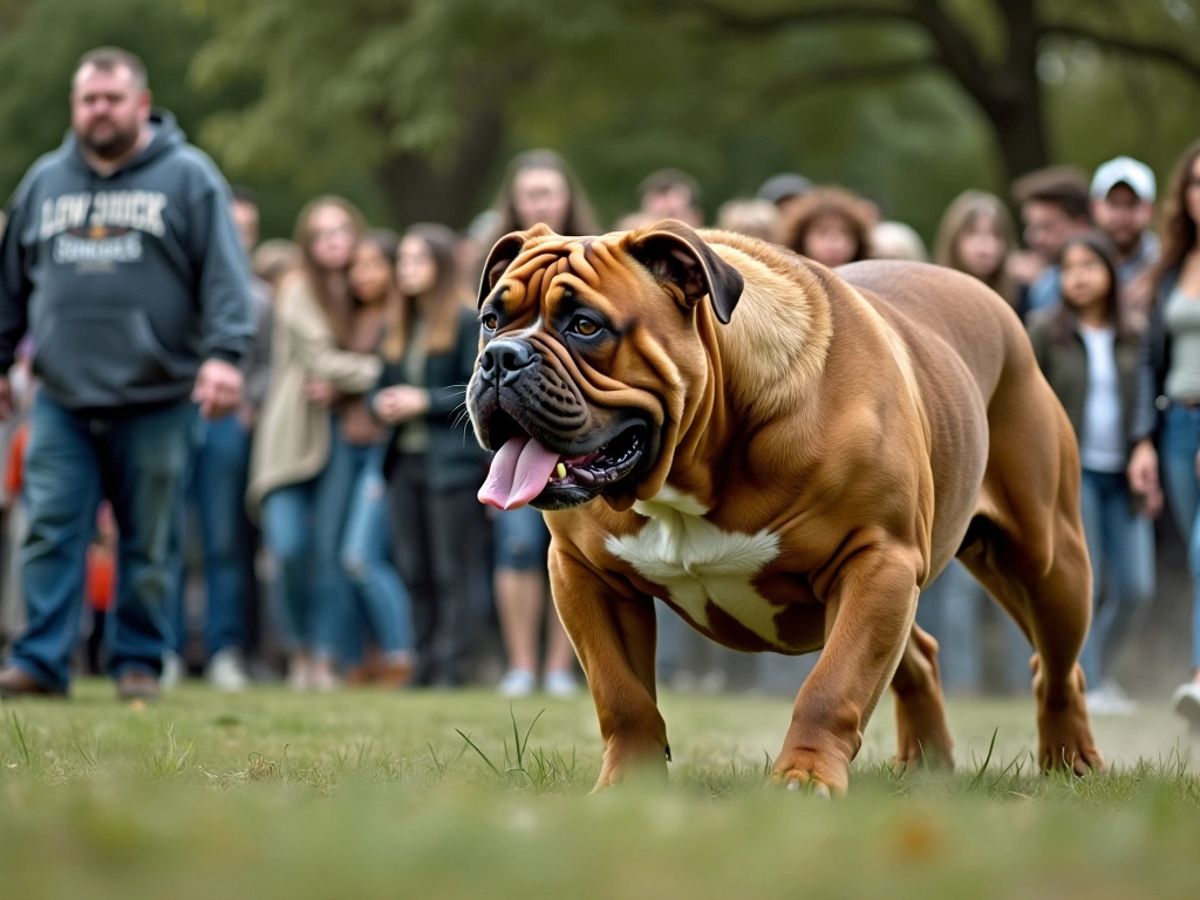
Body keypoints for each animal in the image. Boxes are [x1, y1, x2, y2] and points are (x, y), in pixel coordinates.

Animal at [465, 220, 1104, 796]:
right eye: (491, 320)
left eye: (585, 326)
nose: (499, 358)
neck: (700, 457)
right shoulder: (584, 575)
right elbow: (621, 695)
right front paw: (628, 785)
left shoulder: (877, 560)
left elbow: (832, 686)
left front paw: (804, 778)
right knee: (919, 655)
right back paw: (926, 764)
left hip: (1048, 564)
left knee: (1056, 669)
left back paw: (1070, 763)